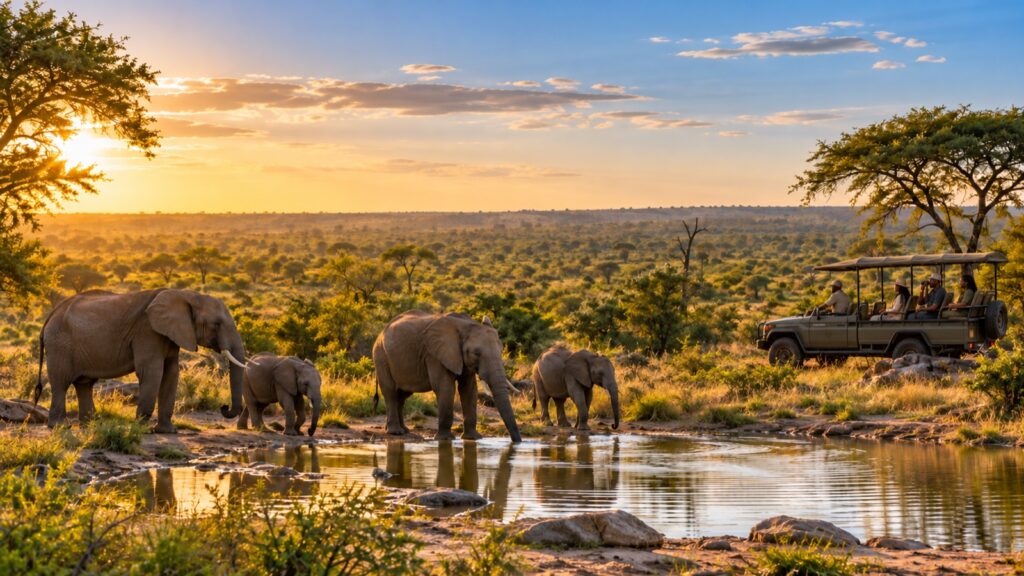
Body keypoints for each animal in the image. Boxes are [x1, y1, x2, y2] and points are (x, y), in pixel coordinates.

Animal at [36, 289, 247, 433]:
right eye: (216, 324)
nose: (224, 407)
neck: (186, 295)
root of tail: (50, 316)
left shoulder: (169, 335)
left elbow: (171, 373)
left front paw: (168, 431)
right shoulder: (148, 332)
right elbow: (152, 372)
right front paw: (141, 428)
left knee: (84, 384)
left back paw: (90, 423)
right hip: (60, 344)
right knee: (61, 383)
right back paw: (60, 426)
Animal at [372, 311, 522, 442]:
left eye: (501, 351)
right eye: (476, 353)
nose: (517, 441)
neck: (465, 325)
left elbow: (469, 389)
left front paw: (473, 438)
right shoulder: (434, 355)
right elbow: (445, 387)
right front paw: (445, 439)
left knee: (402, 395)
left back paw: (403, 430)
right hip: (380, 355)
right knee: (390, 392)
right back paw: (395, 432)